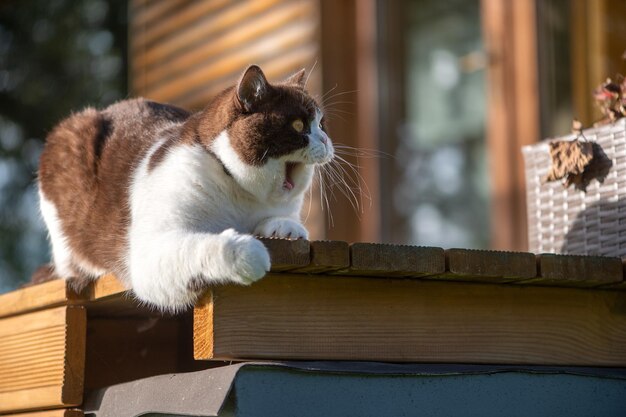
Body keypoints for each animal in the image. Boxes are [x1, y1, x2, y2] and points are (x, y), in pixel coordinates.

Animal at [37, 65, 332, 310]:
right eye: (298, 125)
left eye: (322, 123)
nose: (327, 141)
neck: (240, 194)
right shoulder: (150, 252)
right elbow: (200, 246)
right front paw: (248, 253)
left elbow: (279, 219)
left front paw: (286, 228)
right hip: (68, 139)